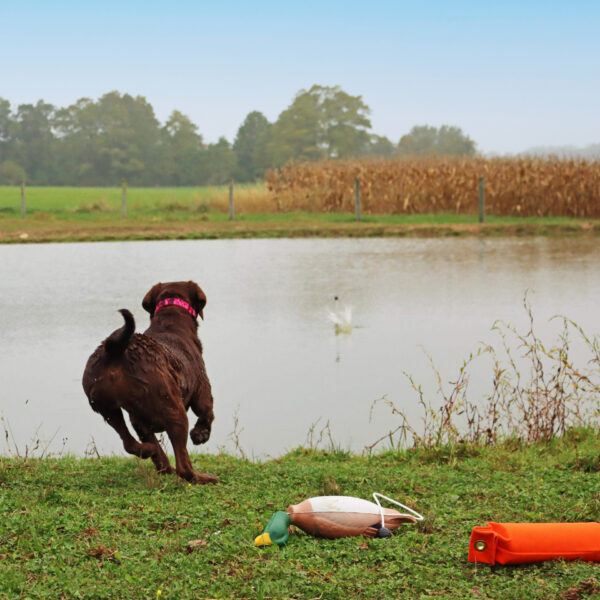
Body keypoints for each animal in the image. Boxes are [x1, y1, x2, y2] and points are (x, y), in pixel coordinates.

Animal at [82, 280, 218, 482]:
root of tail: (115, 351)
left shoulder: (140, 421)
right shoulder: (202, 387)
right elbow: (207, 410)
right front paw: (200, 434)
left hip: (106, 407)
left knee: (129, 443)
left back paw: (149, 451)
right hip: (174, 410)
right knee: (183, 466)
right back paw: (203, 478)